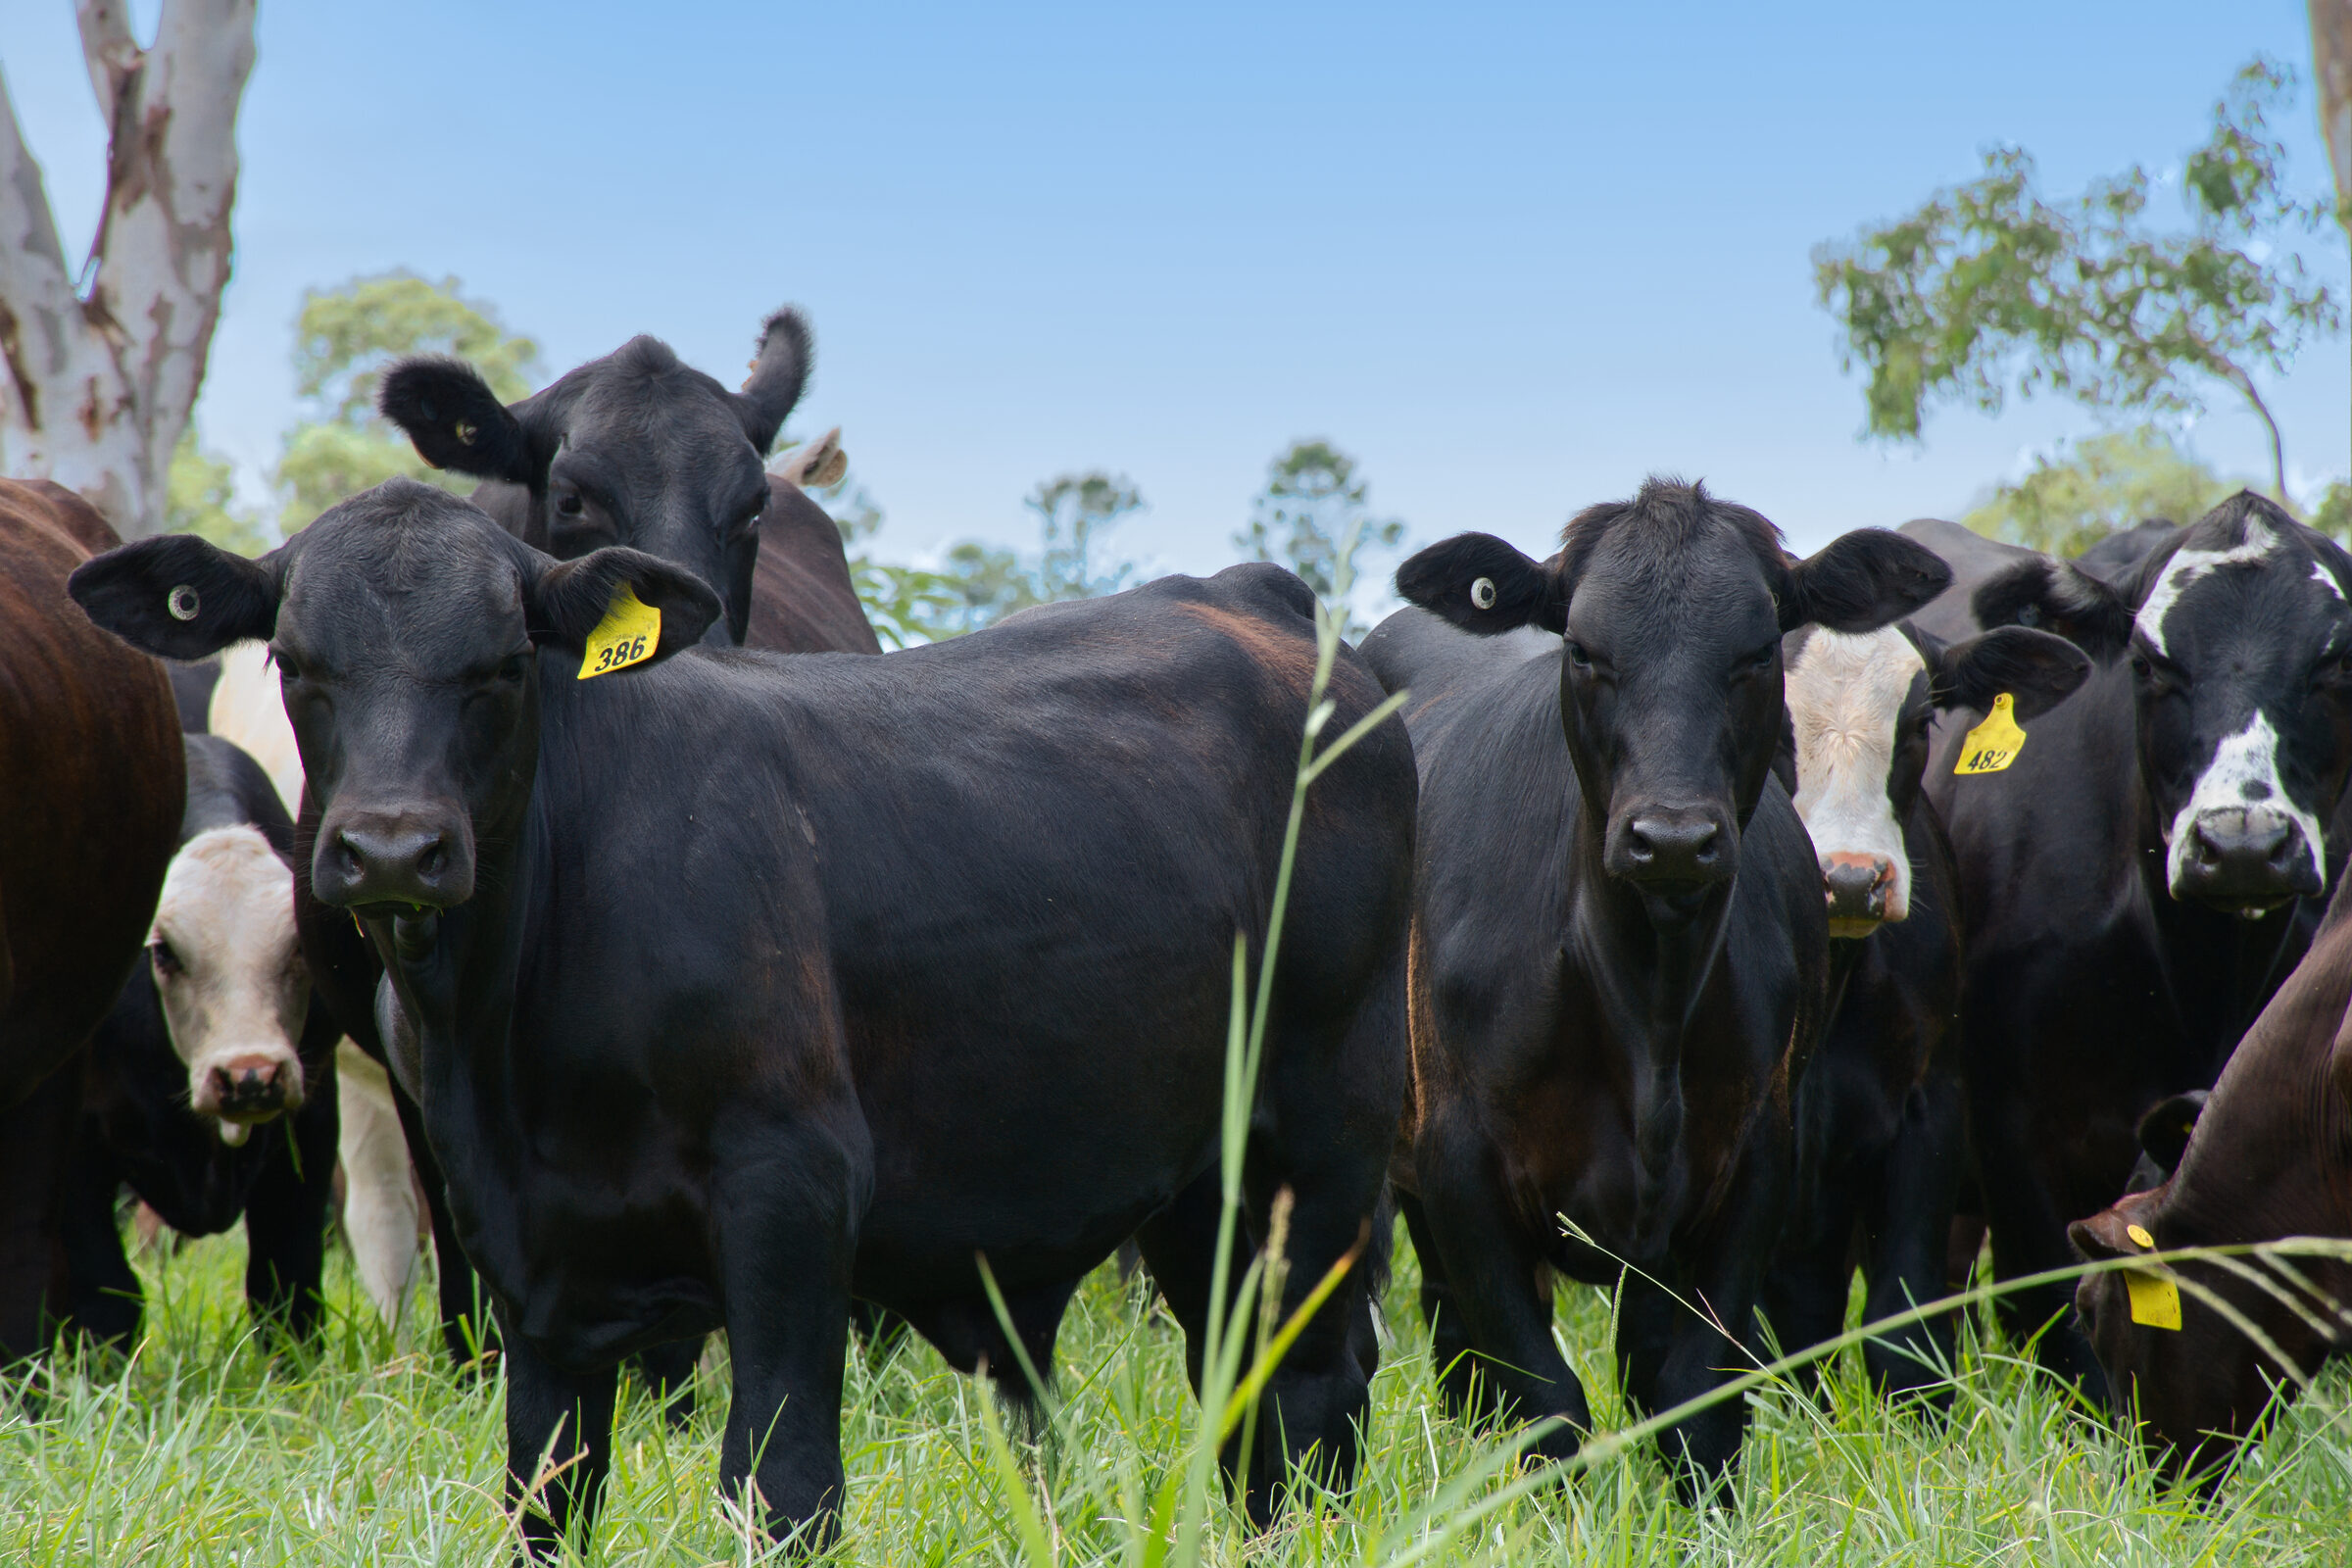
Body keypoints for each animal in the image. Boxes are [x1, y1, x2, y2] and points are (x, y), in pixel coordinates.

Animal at [62, 733, 342, 1345]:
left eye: (299, 948)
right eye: (165, 951)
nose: (250, 1074)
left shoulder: (310, 1121)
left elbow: (287, 1286)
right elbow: (103, 1294)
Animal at [1368, 479, 1949, 1496]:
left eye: (1756, 653)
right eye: (1585, 651)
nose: (1672, 838)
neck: (1646, 1002)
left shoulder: (1753, 1163)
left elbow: (1692, 1394)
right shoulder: (1459, 1163)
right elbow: (1541, 1399)